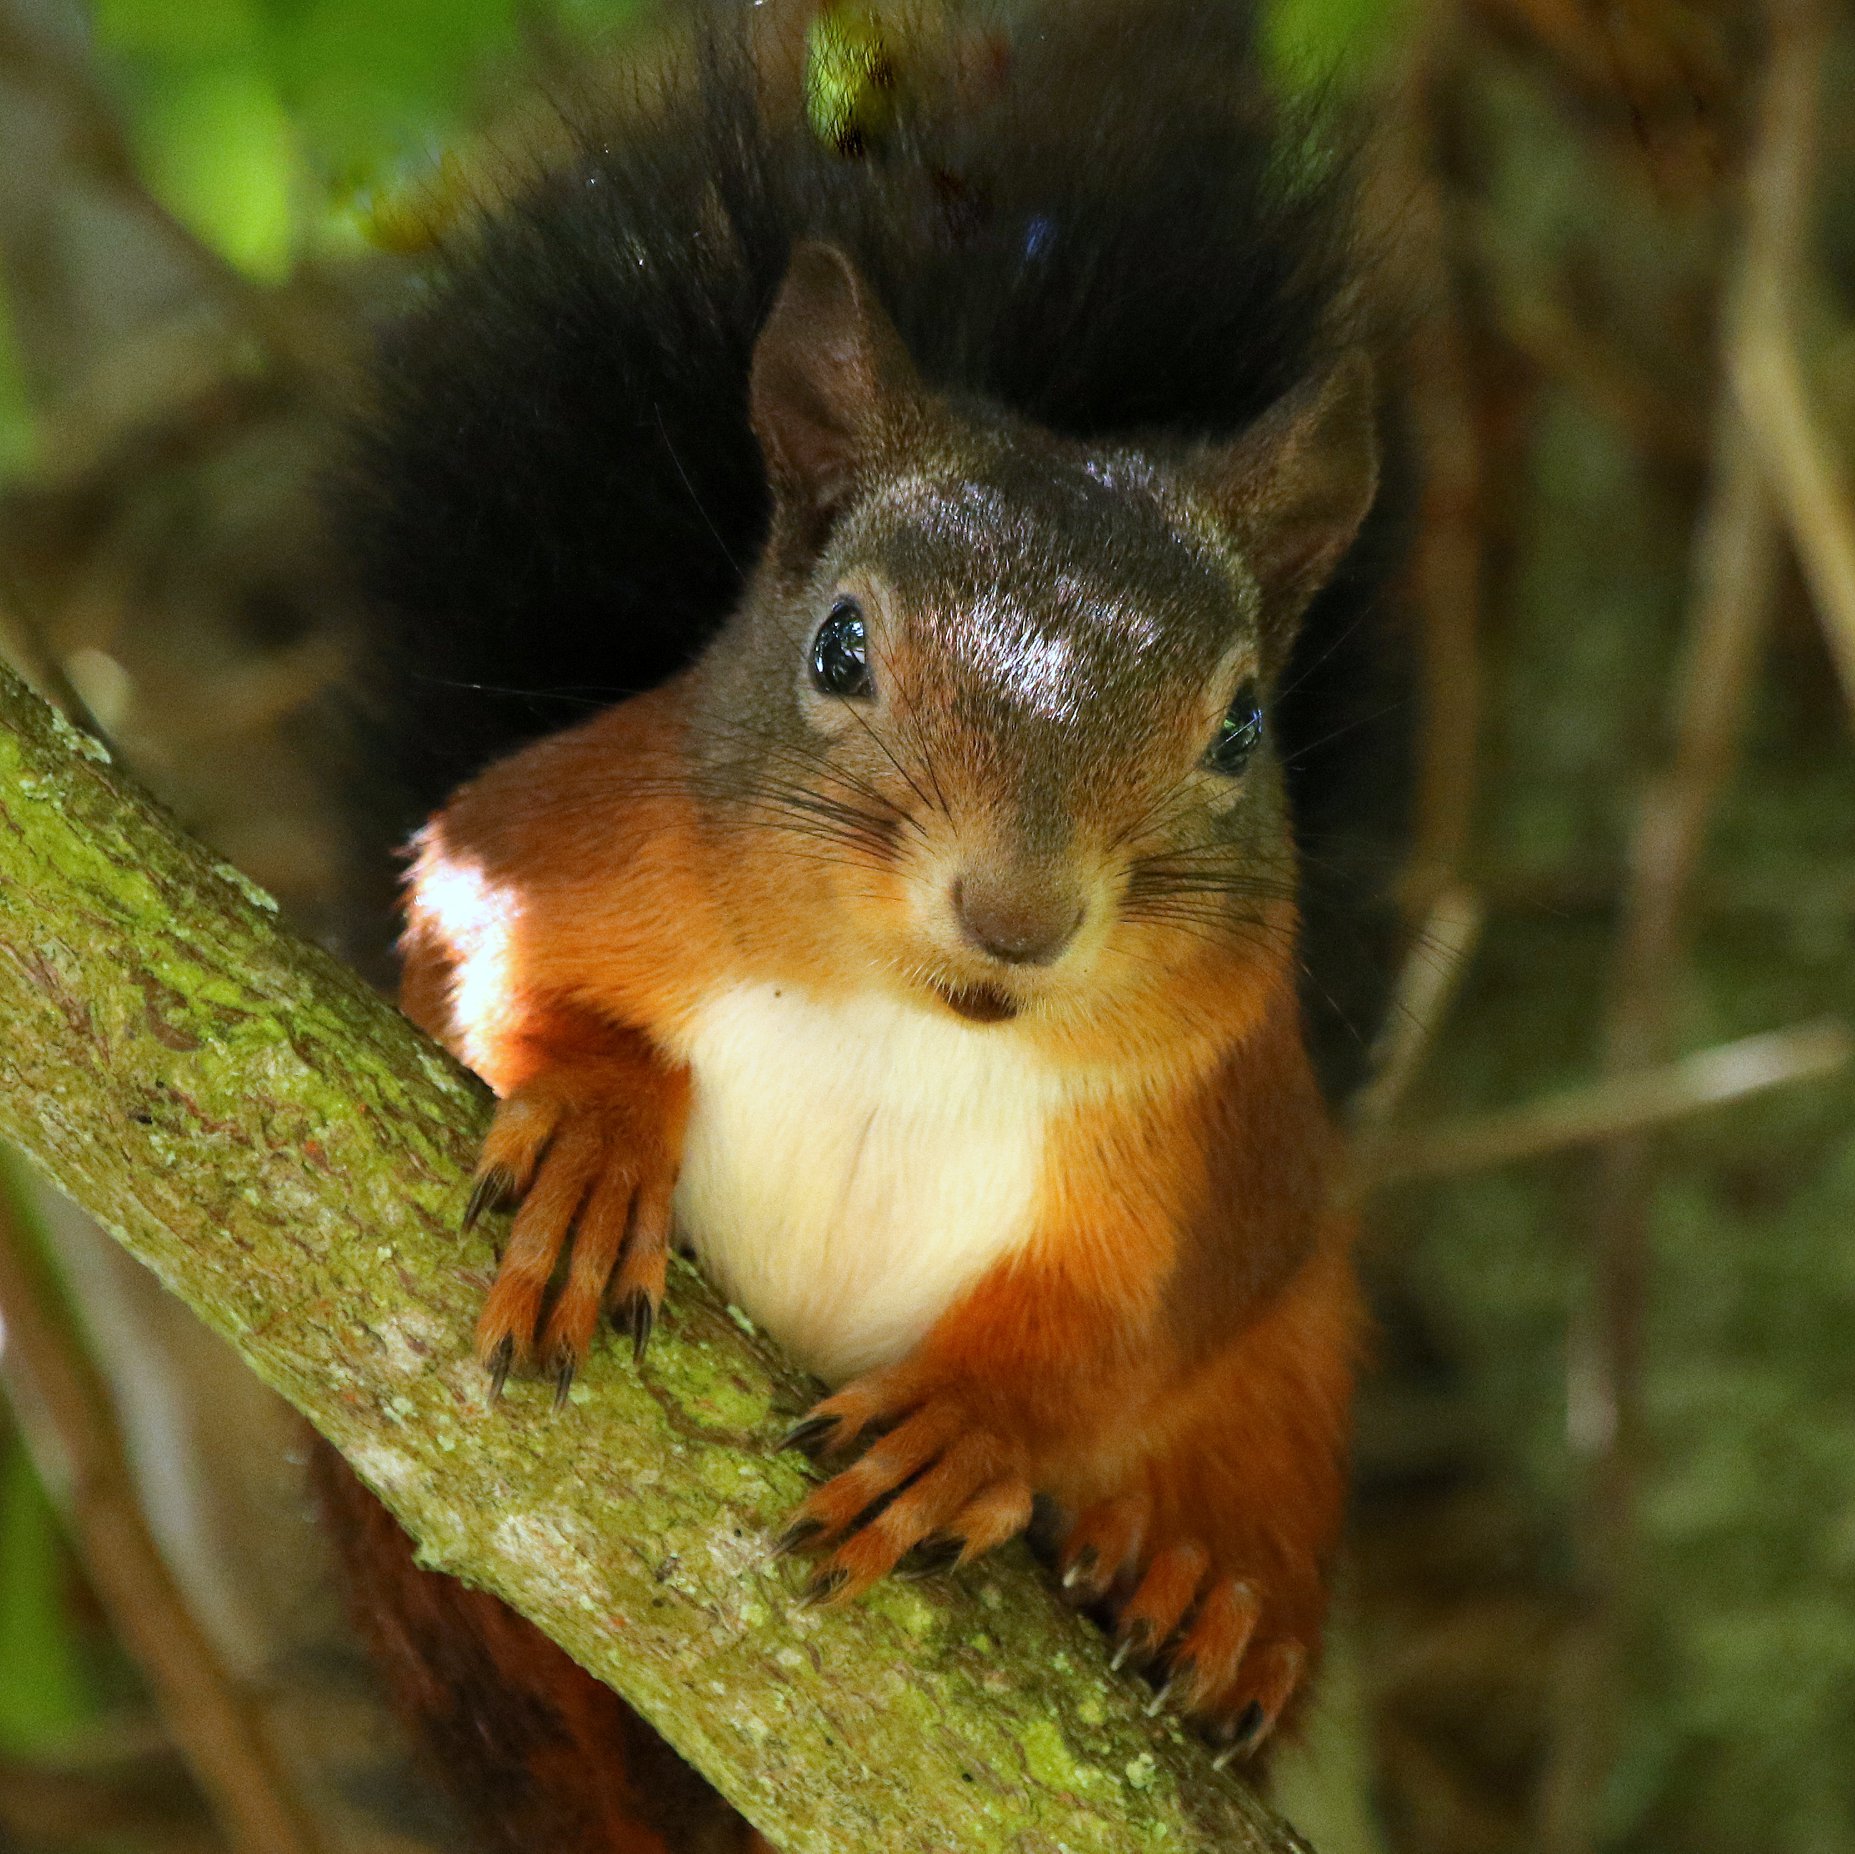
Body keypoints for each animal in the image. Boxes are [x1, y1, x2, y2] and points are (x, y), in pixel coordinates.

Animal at [326, 7, 1402, 1848]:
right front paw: (599, 1132)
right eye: (838, 646)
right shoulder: (542, 839)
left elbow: (1120, 1330)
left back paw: (1205, 1586)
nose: (1017, 913)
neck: (901, 1025)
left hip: (1295, 1356)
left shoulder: (1199, 1147)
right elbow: (471, 967)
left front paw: (974, 1421)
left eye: (1242, 725)